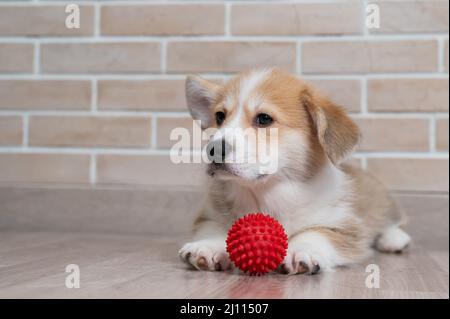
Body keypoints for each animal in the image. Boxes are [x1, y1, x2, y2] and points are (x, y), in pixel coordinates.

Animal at [178, 68, 410, 276]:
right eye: (219, 116)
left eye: (264, 119)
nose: (213, 150)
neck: (265, 195)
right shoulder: (208, 215)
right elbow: (215, 228)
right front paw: (207, 246)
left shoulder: (344, 226)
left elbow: (317, 233)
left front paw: (301, 250)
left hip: (382, 201)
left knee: (391, 221)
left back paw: (394, 239)